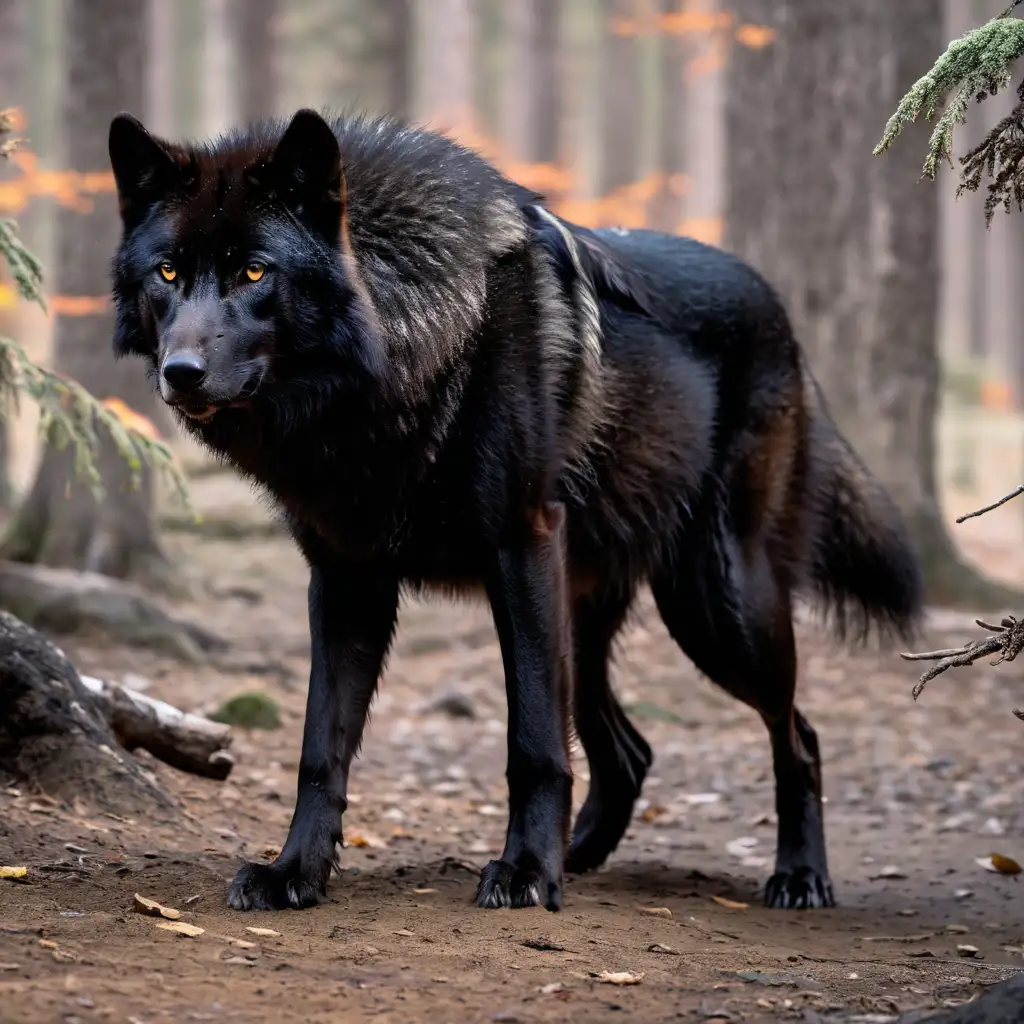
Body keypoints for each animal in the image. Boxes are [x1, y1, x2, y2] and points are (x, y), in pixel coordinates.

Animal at [108, 108, 925, 917]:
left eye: (254, 271)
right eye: (168, 272)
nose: (182, 373)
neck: (400, 361)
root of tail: (780, 309)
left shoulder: (520, 547)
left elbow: (532, 741)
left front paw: (527, 872)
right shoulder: (346, 580)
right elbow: (320, 748)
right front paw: (294, 874)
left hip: (718, 610)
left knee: (799, 736)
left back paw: (798, 876)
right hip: (592, 623)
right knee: (630, 753)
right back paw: (583, 856)